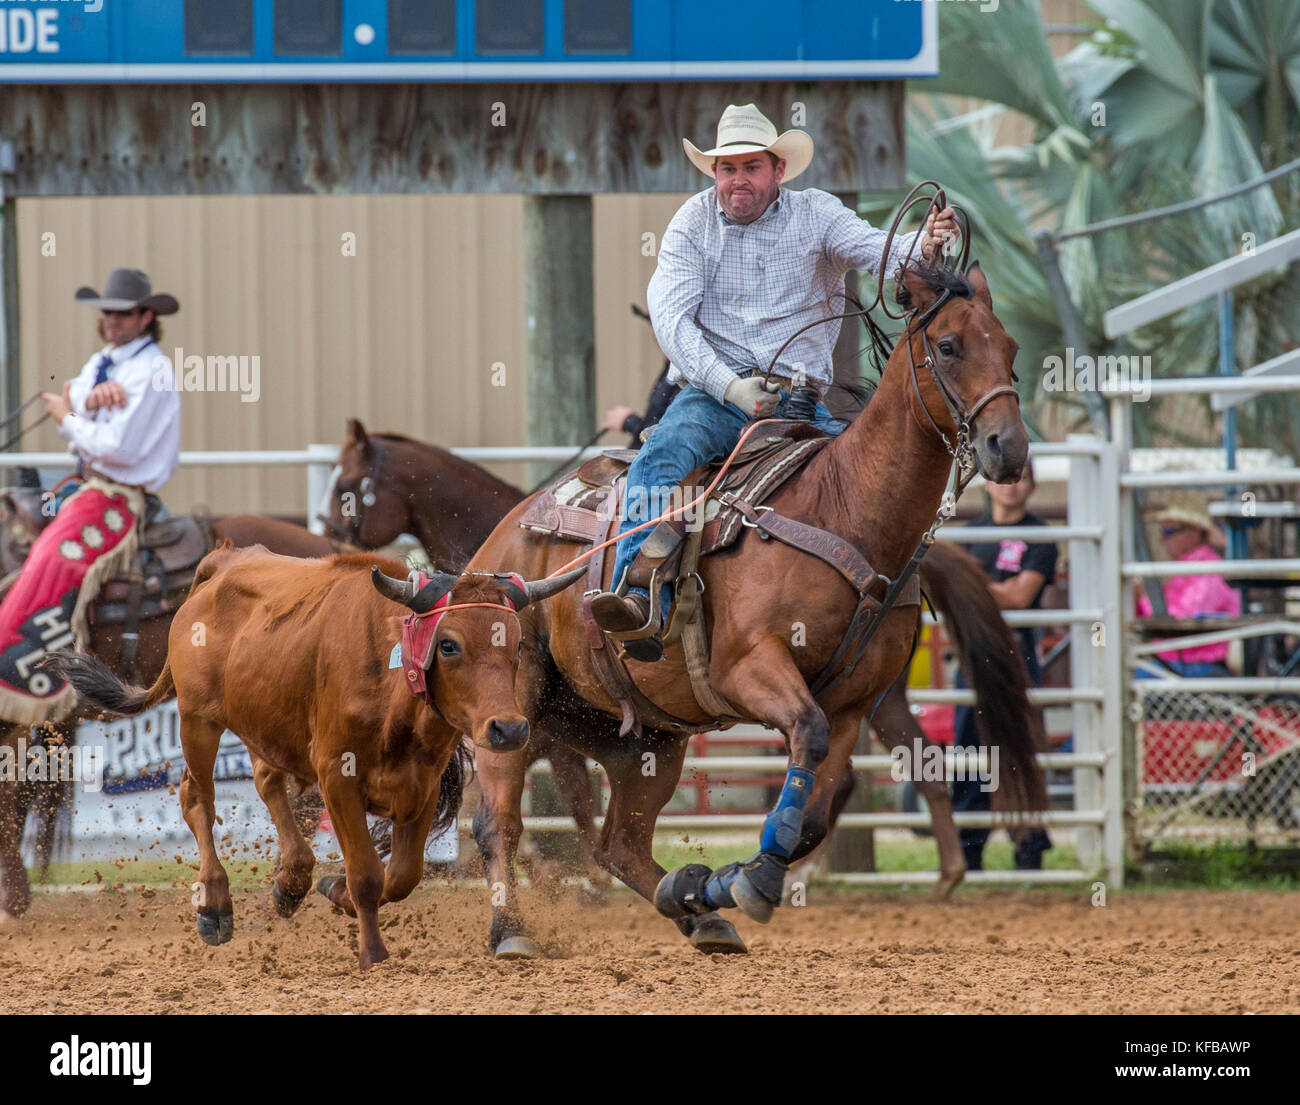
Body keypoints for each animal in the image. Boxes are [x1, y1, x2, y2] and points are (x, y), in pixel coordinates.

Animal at [322, 260, 1045, 956]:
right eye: (948, 345)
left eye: (1011, 347)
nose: (1007, 447)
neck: (845, 509)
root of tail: (499, 547)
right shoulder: (749, 668)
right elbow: (800, 740)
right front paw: (748, 879)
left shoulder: (851, 702)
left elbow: (810, 810)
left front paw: (730, 881)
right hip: (510, 711)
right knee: (498, 816)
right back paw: (511, 930)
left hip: (643, 735)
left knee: (621, 842)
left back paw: (698, 910)